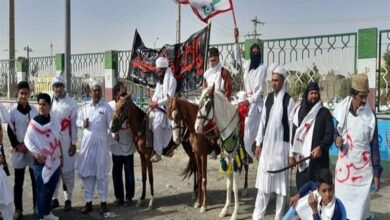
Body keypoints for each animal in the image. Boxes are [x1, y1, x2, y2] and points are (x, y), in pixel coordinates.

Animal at [194, 85, 241, 220]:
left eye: (207, 104)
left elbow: (234, 186)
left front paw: (235, 213)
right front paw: (225, 209)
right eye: (199, 103)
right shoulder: (227, 158)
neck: (230, 128)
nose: (196, 127)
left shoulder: (235, 159)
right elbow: (228, 184)